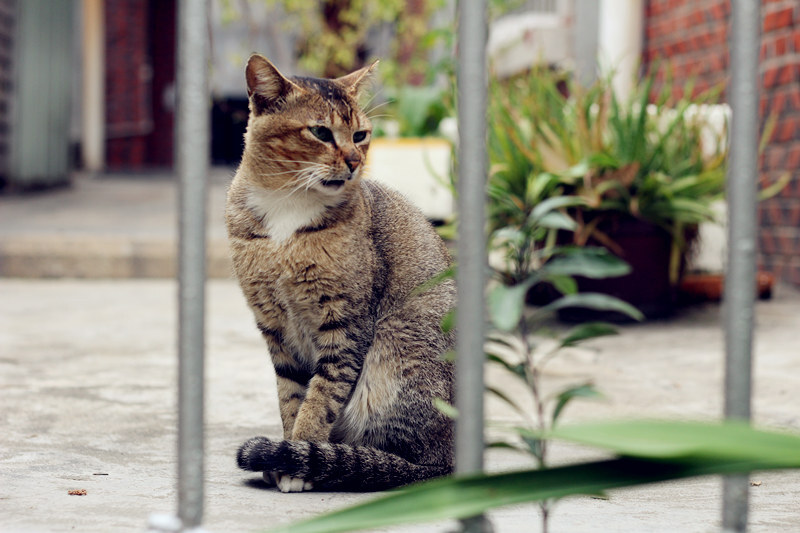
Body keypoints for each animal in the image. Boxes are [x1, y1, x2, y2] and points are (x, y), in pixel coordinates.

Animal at [225, 54, 456, 490]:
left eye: (361, 134)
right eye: (320, 132)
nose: (355, 160)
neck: (288, 210)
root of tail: (449, 456)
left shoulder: (345, 325)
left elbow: (321, 398)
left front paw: (299, 456)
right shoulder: (275, 327)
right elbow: (291, 396)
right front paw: (289, 452)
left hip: (394, 354)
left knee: (406, 461)